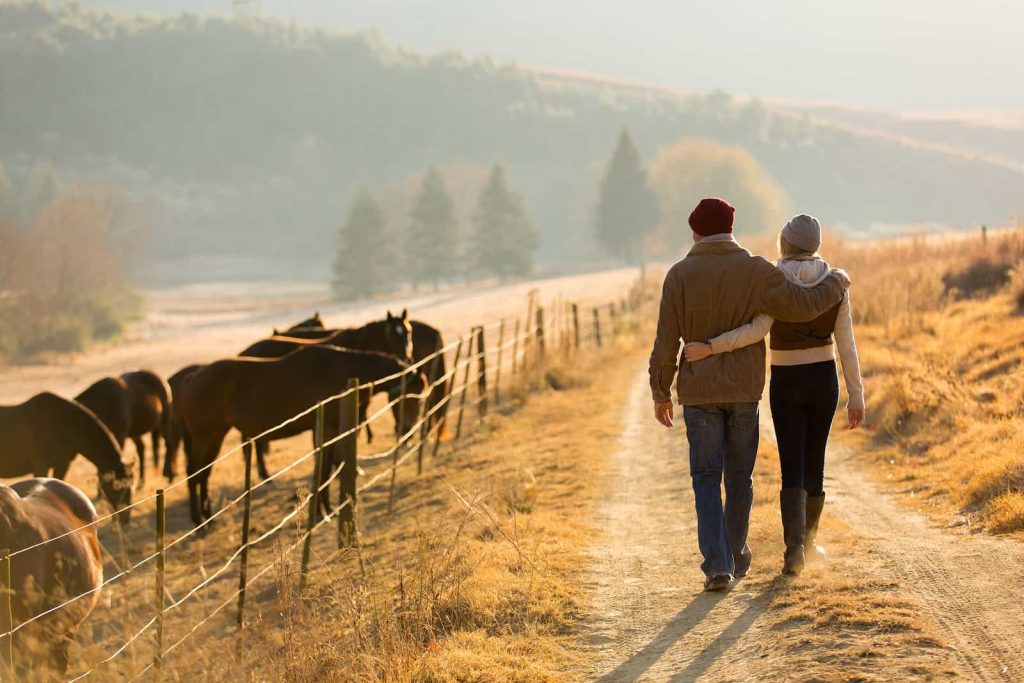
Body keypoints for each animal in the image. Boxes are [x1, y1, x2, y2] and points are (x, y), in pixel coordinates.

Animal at [178, 346, 423, 527]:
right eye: (414, 395)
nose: (408, 429)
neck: (340, 369)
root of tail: (191, 379)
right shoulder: (324, 429)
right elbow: (322, 468)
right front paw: (322, 513)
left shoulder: (331, 430)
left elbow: (326, 469)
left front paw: (327, 510)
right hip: (204, 437)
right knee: (193, 473)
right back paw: (198, 521)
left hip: (216, 436)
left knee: (204, 474)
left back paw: (208, 519)